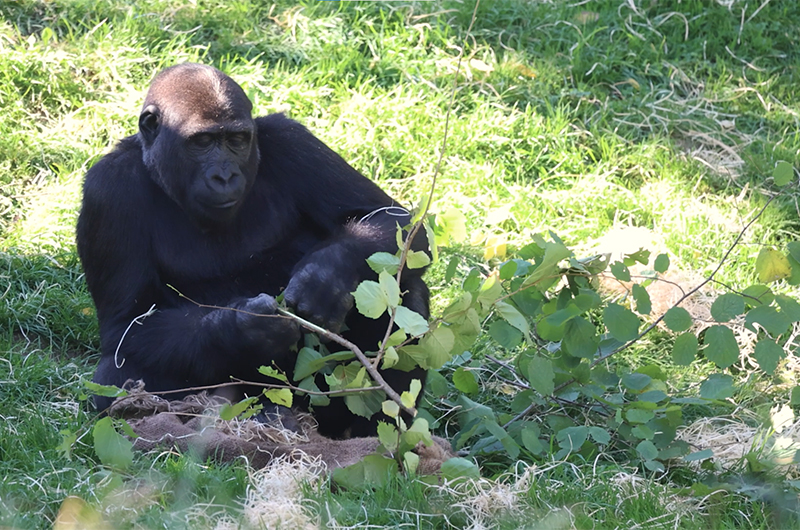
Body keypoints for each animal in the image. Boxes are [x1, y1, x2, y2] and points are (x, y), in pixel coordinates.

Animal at [77, 62, 428, 436]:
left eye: (237, 141)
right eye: (202, 142)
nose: (225, 176)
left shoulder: (290, 138)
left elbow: (393, 219)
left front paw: (325, 278)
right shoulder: (107, 190)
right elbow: (126, 326)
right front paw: (244, 327)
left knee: (403, 287)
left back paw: (377, 432)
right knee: (117, 375)